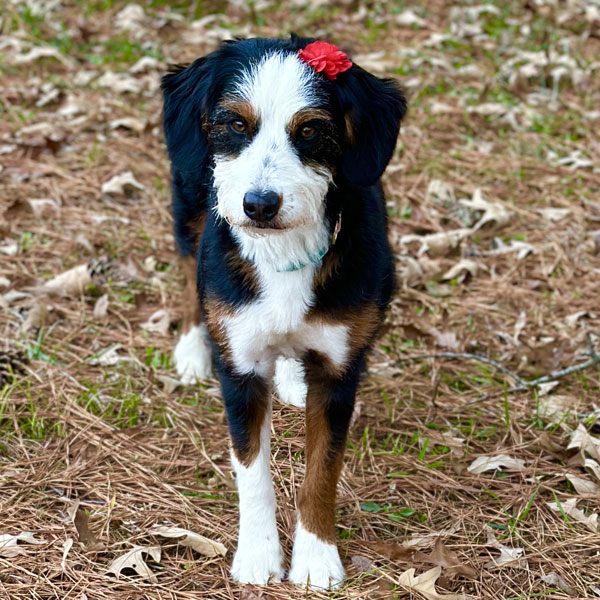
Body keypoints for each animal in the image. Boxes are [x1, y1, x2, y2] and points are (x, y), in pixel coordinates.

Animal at [162, 35, 406, 588]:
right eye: (235, 124)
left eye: (311, 129)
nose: (259, 204)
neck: (284, 249)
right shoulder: (241, 367)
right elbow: (252, 472)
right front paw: (258, 556)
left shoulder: (340, 371)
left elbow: (322, 470)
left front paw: (316, 557)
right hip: (189, 203)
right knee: (188, 272)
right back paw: (192, 348)